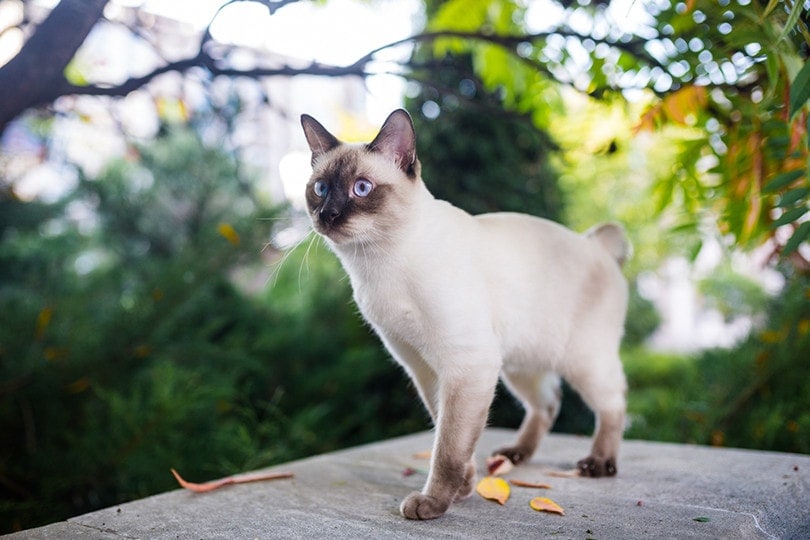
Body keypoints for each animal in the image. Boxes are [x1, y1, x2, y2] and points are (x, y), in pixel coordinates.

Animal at [300, 108, 628, 520]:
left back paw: (598, 464)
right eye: (320, 188)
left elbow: (449, 447)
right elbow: (449, 432)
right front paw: (465, 488)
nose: (328, 214)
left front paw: (433, 504)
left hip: (582, 360)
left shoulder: (465, 365)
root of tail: (595, 243)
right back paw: (515, 455)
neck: (377, 263)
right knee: (549, 401)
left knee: (614, 403)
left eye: (362, 188)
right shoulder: (424, 367)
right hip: (519, 364)